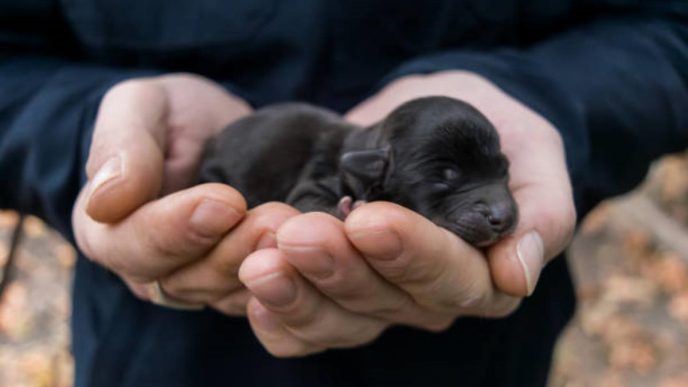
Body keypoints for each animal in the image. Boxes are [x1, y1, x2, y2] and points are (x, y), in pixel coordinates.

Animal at [202, 98, 520, 249]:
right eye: (447, 176)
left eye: (504, 171)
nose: (503, 218)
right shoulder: (317, 177)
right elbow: (306, 198)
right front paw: (344, 209)